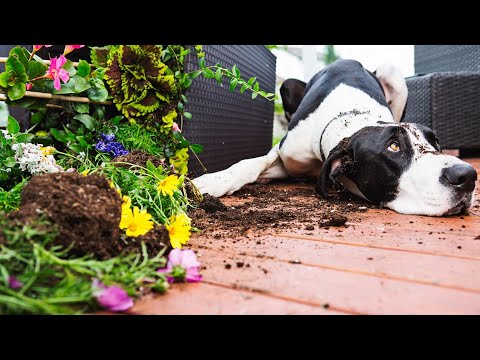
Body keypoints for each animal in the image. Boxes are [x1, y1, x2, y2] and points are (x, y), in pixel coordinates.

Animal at [193, 59, 478, 217]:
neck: (352, 119)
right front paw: (211, 182)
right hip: (287, 86)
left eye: (435, 142)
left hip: (393, 73)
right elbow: (250, 164)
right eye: (393, 147)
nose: (467, 176)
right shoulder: (287, 155)